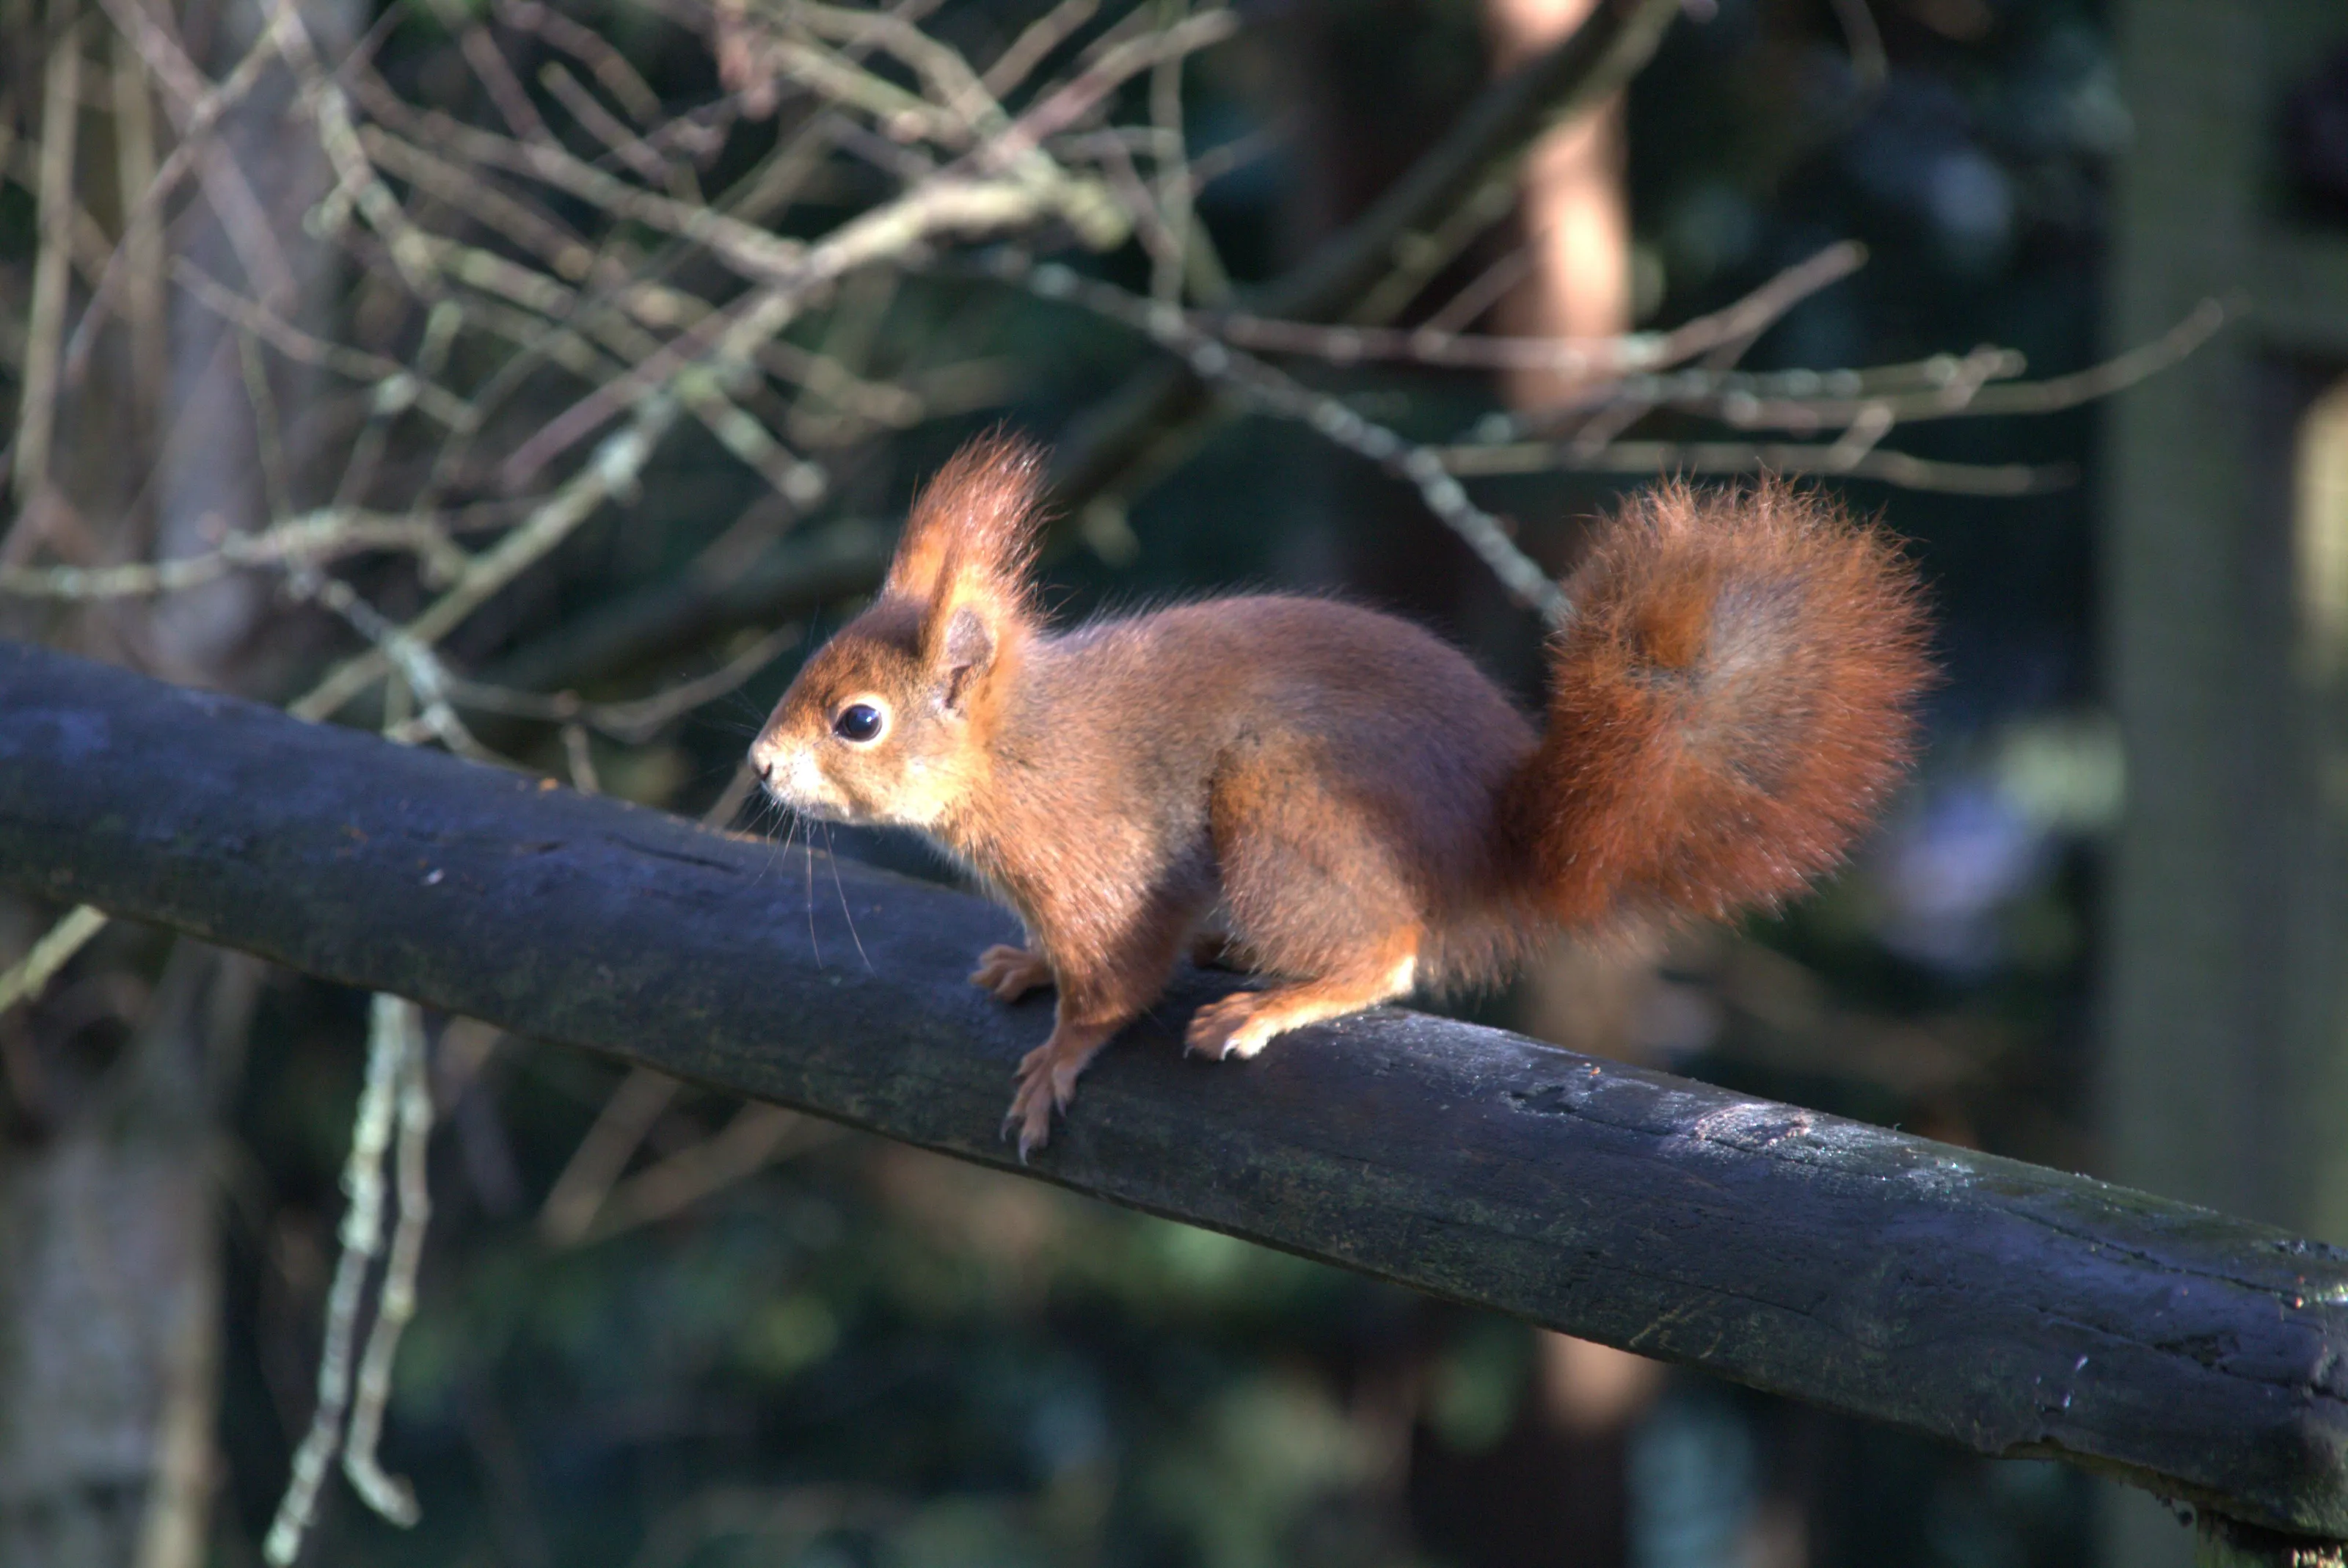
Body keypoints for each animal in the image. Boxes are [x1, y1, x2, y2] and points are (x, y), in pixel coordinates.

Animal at [749, 435, 1931, 1157]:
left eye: (859, 720)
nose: (758, 764)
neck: (1014, 753)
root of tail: (1496, 847)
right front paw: (1027, 962)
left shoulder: (1096, 855)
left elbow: (1115, 981)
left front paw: (1058, 1061)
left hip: (1284, 805)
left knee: (1388, 958)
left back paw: (1276, 1000)